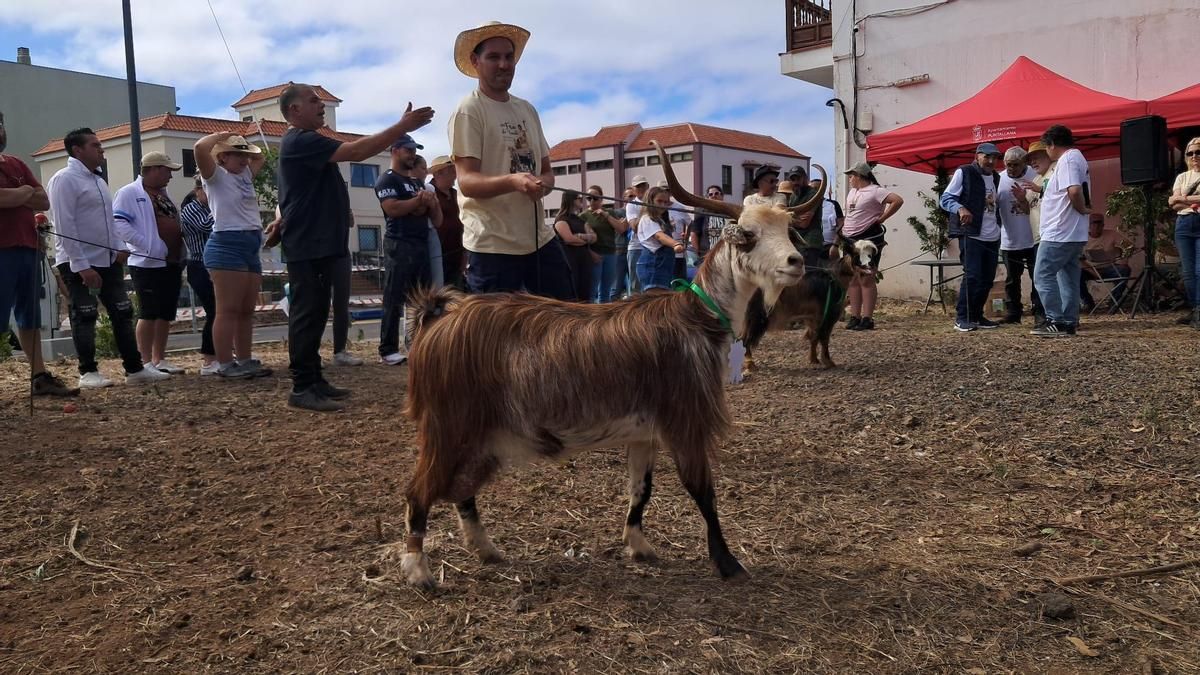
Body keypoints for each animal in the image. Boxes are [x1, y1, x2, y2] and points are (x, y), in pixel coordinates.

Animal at [393, 141, 826, 588]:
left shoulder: (644, 433)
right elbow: (702, 489)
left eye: (787, 232)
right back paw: (418, 569)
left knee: (461, 489)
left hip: (482, 435)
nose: (795, 262)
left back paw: (486, 550)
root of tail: (439, 320)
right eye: (750, 236)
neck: (697, 315)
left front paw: (638, 545)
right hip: (449, 424)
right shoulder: (685, 419)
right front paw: (727, 563)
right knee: (418, 490)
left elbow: (641, 489)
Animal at [741, 238, 878, 369]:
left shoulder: (814, 317)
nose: (870, 264)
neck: (835, 278)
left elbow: (814, 337)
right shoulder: (828, 316)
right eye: (857, 254)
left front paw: (814, 360)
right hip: (757, 315)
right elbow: (824, 339)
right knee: (746, 339)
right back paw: (750, 364)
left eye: (870, 254)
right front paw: (828, 362)